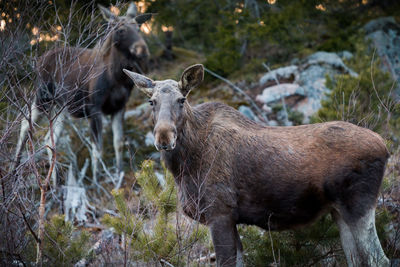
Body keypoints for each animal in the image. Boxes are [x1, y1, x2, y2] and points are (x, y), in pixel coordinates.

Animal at [123, 63, 390, 266]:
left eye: (181, 99)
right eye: (151, 102)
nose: (164, 138)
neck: (184, 168)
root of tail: (385, 146)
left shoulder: (219, 212)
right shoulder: (229, 219)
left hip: (359, 204)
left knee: (379, 259)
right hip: (338, 211)